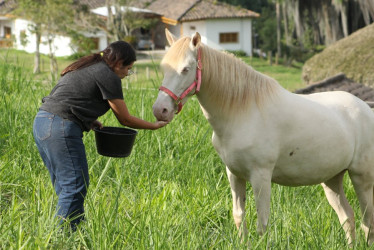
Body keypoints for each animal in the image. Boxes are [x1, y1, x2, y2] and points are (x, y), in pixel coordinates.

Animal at [152, 29, 374, 246]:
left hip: (361, 177)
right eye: (164, 68)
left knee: (367, 220)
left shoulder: (261, 177)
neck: (243, 112)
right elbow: (239, 216)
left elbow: (262, 223)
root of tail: (366, 109)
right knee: (348, 217)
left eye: (186, 69)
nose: (160, 110)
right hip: (332, 179)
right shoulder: (234, 174)